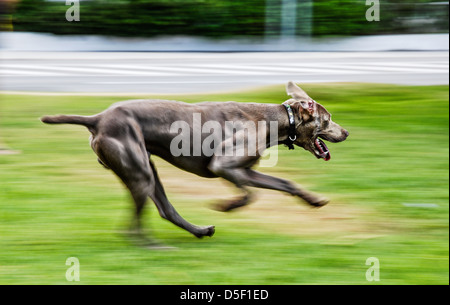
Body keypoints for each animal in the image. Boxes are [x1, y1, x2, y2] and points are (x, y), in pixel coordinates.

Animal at [41, 82, 348, 241]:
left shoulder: (245, 171)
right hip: (138, 169)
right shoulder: (224, 166)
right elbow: (249, 196)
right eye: (328, 118)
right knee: (140, 221)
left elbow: (284, 183)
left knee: (166, 209)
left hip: (146, 168)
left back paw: (199, 231)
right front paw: (227, 206)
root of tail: (97, 118)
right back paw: (153, 245)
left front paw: (314, 200)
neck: (276, 120)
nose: (346, 132)